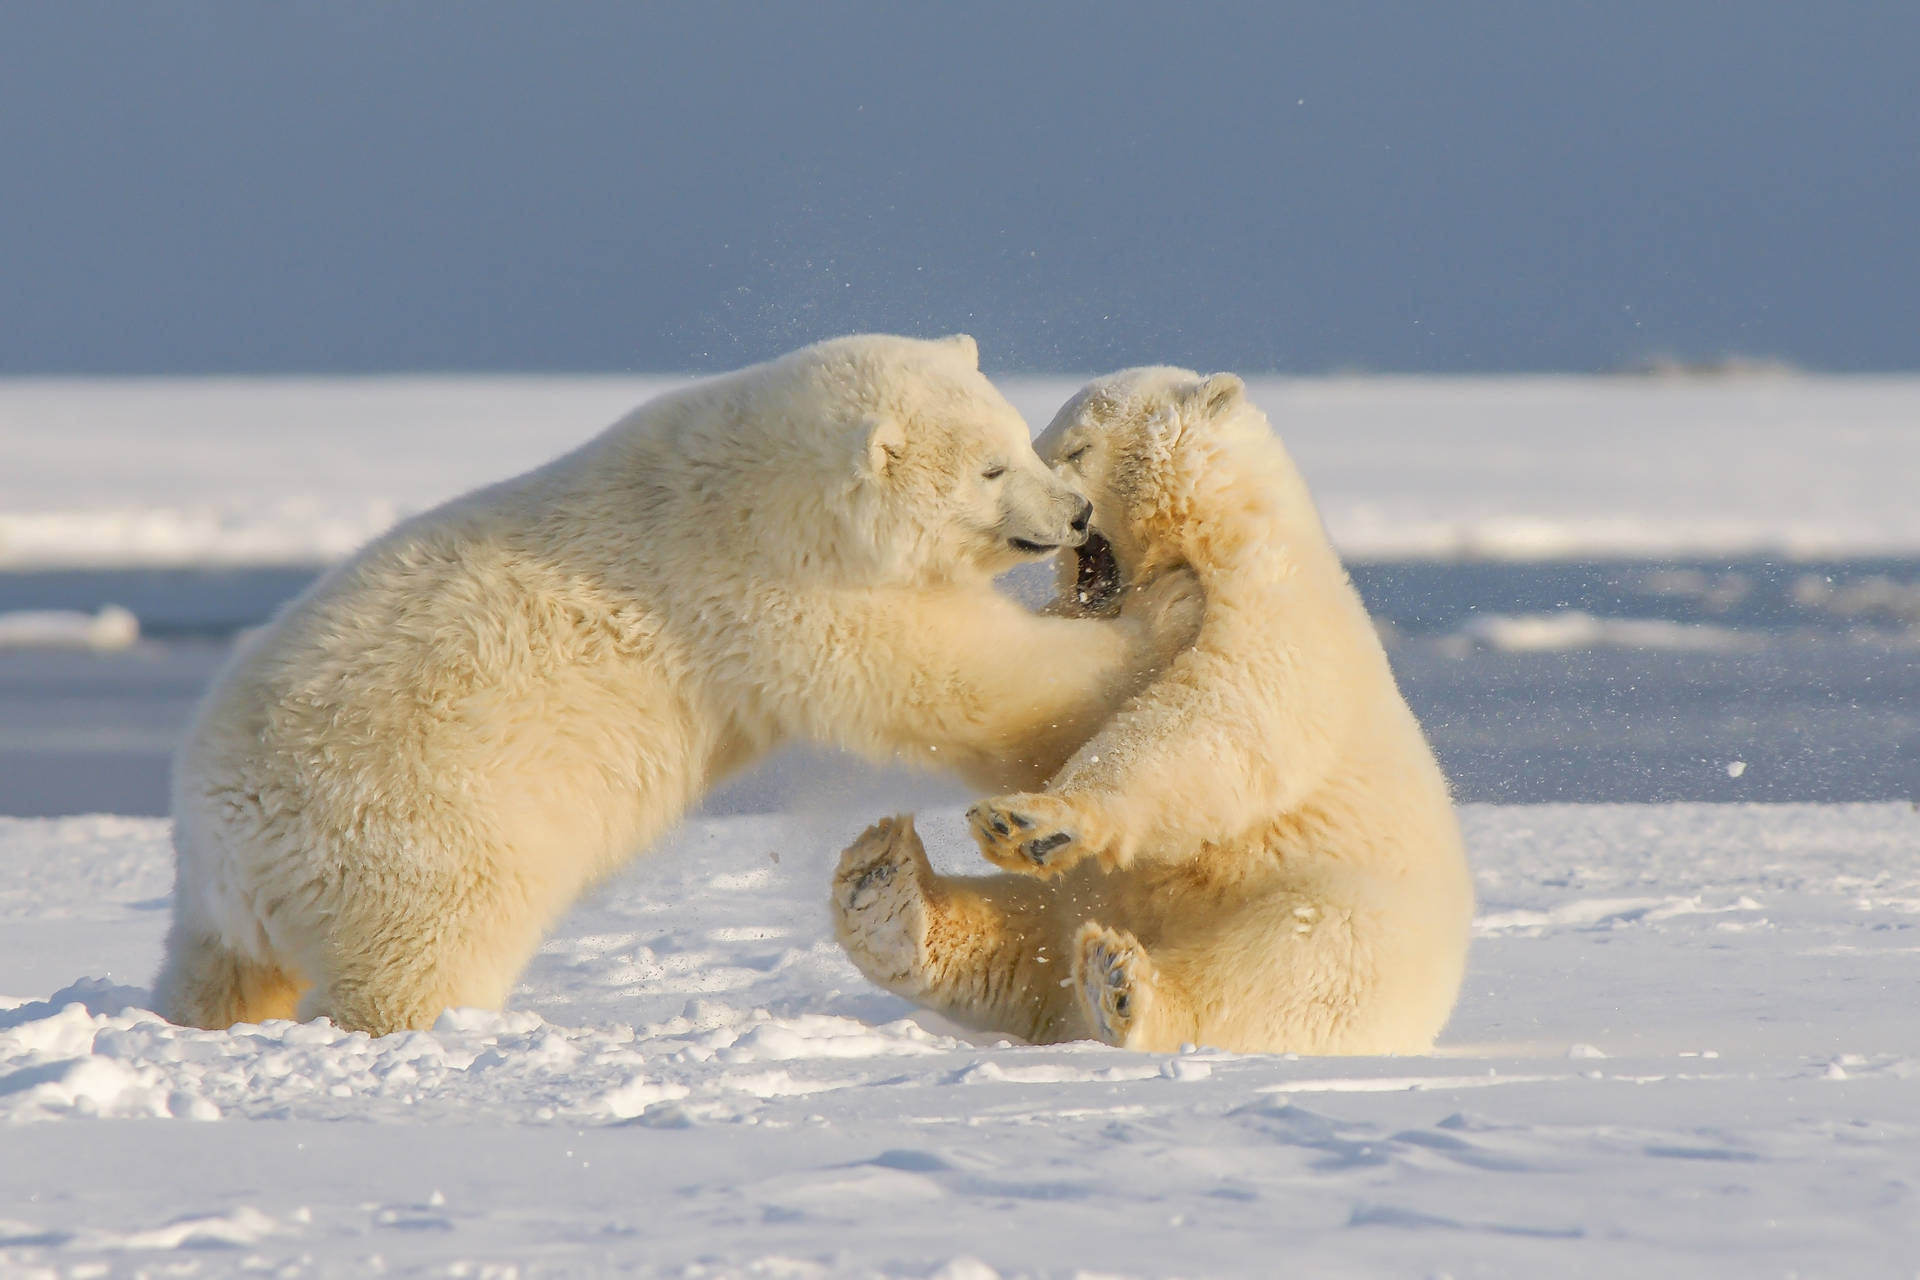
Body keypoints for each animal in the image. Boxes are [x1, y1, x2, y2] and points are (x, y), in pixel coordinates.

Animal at [155, 335, 1202, 1037]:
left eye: (1025, 440)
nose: (1076, 513)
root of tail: (223, 832)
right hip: (420, 833)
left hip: (240, 901)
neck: (755, 489)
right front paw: (1175, 606)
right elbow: (963, 676)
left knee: (219, 970)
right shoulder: (769, 591)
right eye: (990, 467)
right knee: (422, 957)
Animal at [831, 366, 1474, 1055]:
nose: (1061, 512)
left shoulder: (1273, 609)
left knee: (1288, 967)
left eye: (1075, 448)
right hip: (1082, 897)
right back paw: (886, 889)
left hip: (1337, 907)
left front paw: (1032, 819)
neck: (1215, 535)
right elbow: (1046, 712)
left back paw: (1120, 988)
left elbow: (1217, 715)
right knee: (1024, 938)